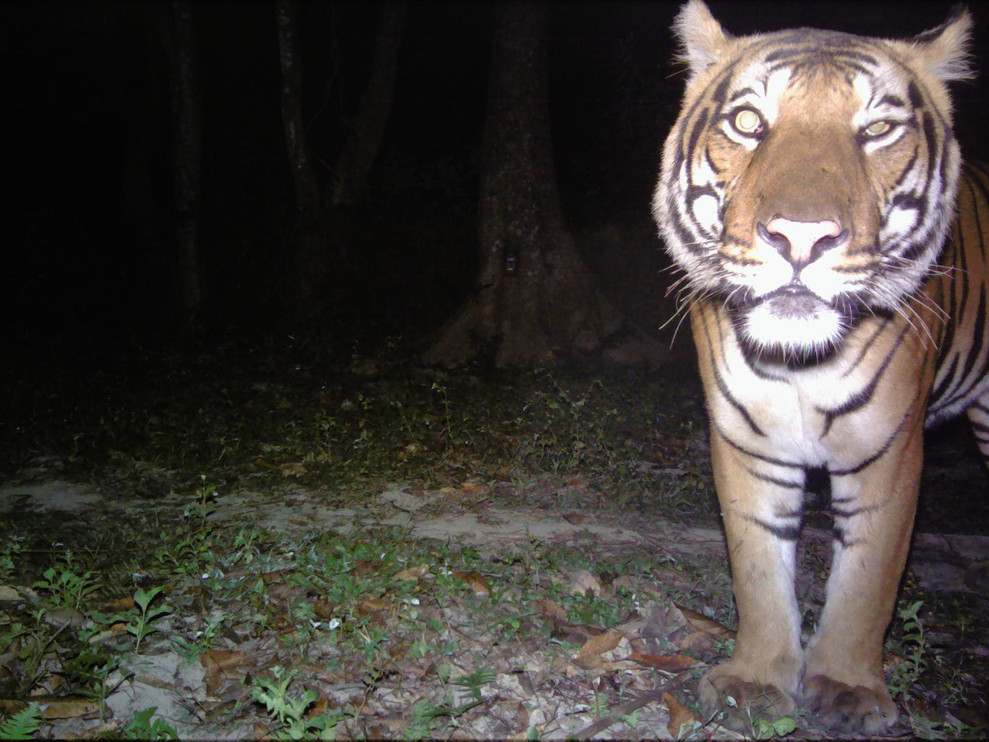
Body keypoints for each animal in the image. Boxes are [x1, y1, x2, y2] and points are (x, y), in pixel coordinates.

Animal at [652, 0, 988, 734]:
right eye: (749, 123)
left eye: (878, 129)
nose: (801, 237)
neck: (797, 364)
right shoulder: (748, 443)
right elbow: (756, 567)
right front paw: (754, 680)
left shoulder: (888, 450)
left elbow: (868, 580)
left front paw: (847, 689)